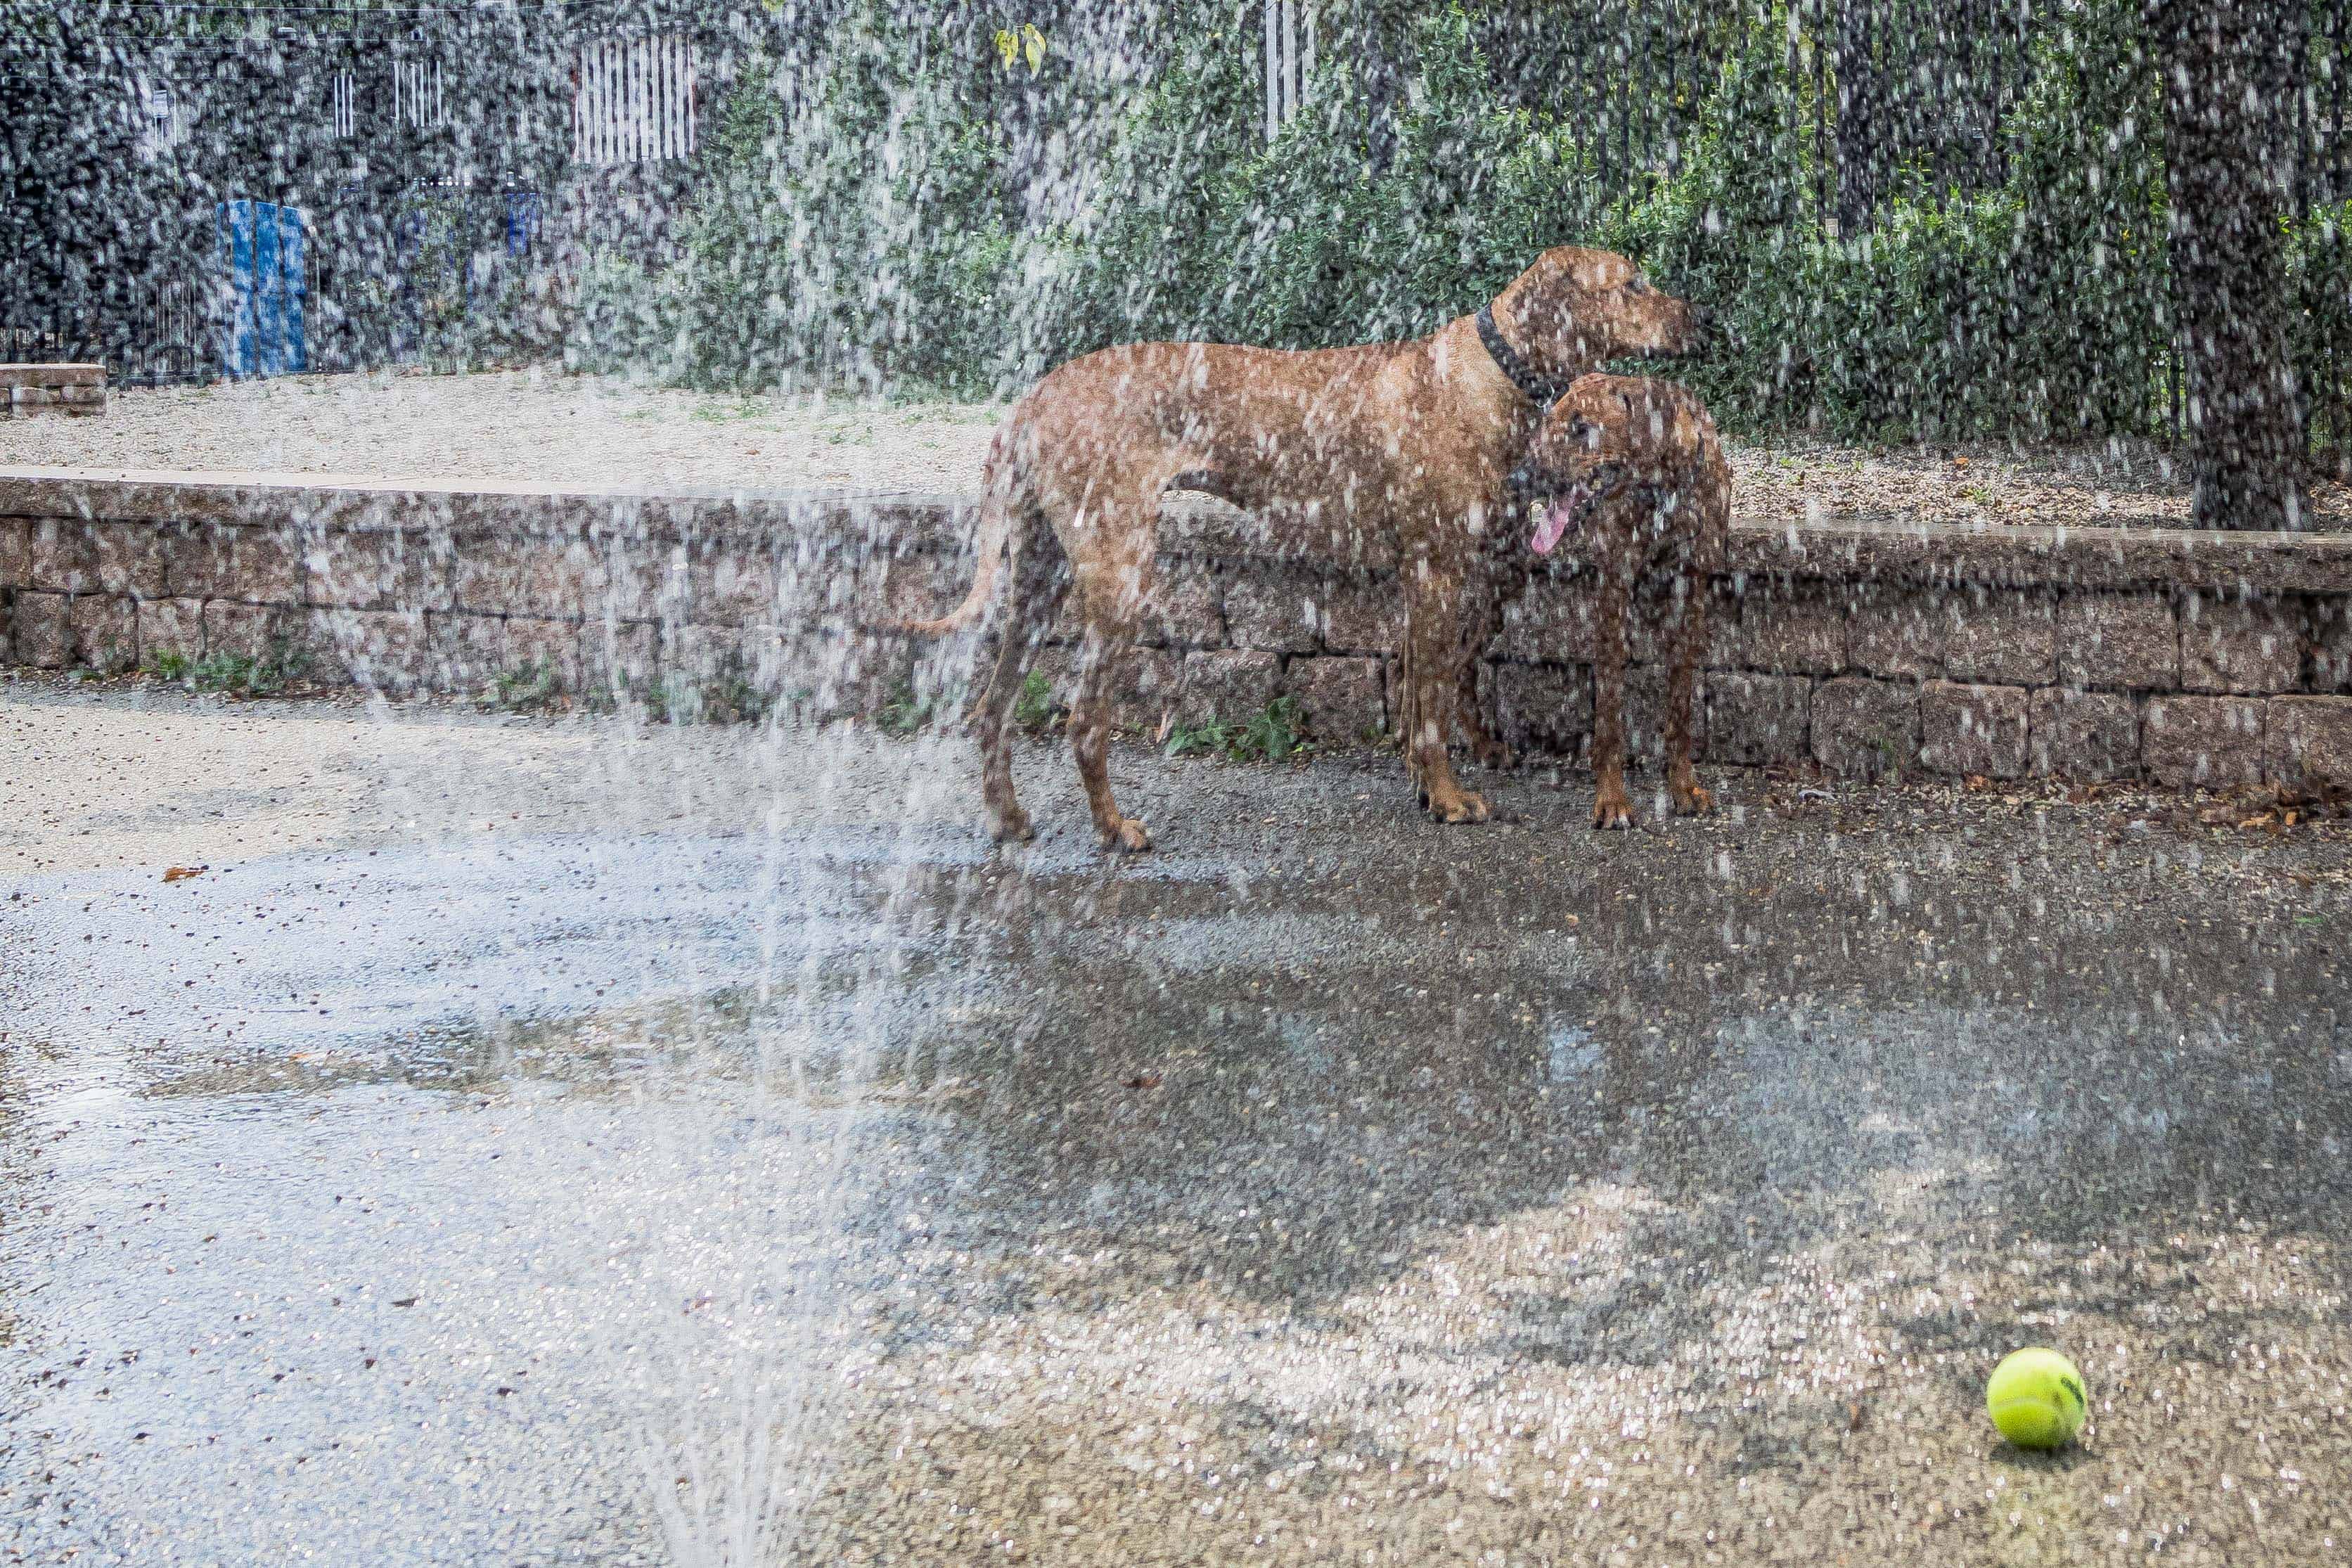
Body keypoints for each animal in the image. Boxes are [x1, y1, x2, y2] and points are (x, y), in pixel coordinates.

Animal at [908, 245, 1702, 851]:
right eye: (1632, 284)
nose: (1699, 316)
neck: (1491, 374)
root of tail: (1034, 395)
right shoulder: (1436, 572)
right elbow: (1435, 703)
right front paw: (1449, 798)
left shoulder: (1419, 580)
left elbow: (1415, 692)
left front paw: (1424, 788)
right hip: (1118, 573)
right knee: (1081, 719)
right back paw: (1114, 828)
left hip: (1037, 579)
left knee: (992, 706)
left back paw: (1008, 817)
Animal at [1505, 373, 1730, 827]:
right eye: (1549, 422)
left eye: (1582, 428)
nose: (1517, 478)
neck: (1664, 491)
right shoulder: (1613, 586)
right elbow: (1610, 710)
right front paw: (1611, 799)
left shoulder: (1692, 588)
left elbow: (1680, 704)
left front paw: (1683, 786)